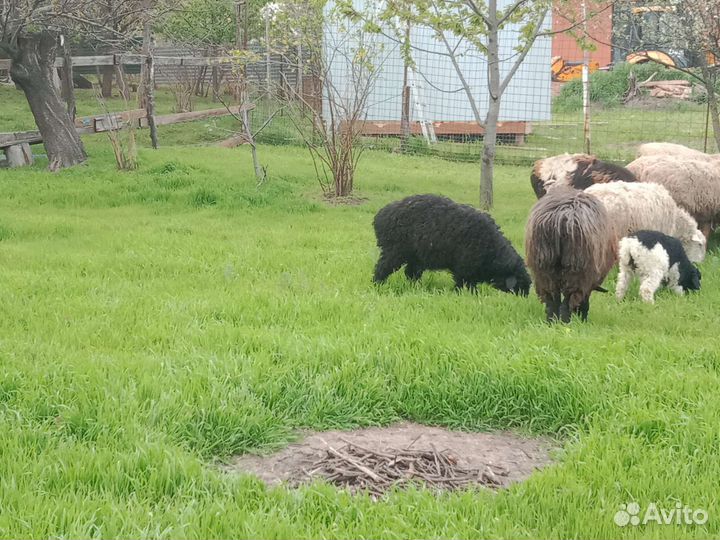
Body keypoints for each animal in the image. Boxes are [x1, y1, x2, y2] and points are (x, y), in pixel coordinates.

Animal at [372, 194, 531, 295]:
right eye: (520, 284)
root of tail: (380, 216)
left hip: (416, 256)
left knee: (411, 273)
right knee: (382, 268)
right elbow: (463, 284)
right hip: (394, 251)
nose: (525, 296)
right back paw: (377, 285)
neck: (492, 250)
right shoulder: (464, 268)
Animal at [525, 187, 616, 323]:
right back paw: (564, 322)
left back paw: (552, 322)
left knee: (552, 301)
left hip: (544, 266)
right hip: (577, 267)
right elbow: (584, 301)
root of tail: (562, 218)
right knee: (565, 303)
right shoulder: (587, 282)